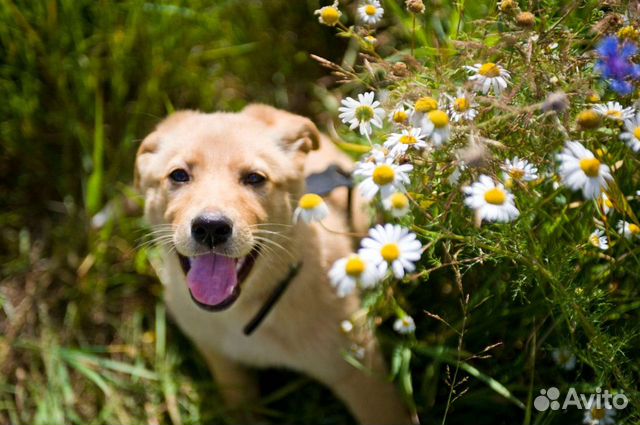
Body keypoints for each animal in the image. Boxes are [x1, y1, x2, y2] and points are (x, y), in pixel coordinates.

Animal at [137, 103, 412, 424]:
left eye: (255, 178)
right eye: (179, 175)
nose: (211, 227)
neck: (244, 312)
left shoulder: (360, 373)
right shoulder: (226, 369)